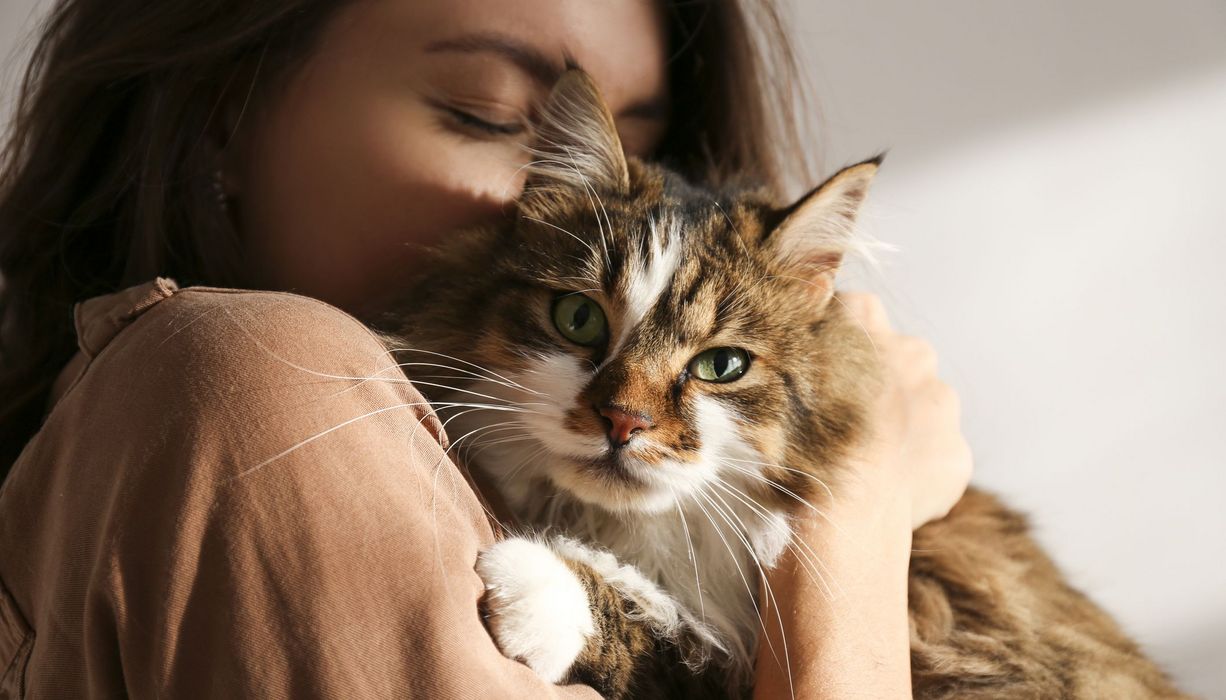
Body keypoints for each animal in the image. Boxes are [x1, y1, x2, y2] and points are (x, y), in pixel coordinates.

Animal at [377, 68, 1191, 696]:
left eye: (722, 366)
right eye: (577, 319)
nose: (623, 422)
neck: (643, 537)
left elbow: (665, 635)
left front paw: (536, 586)